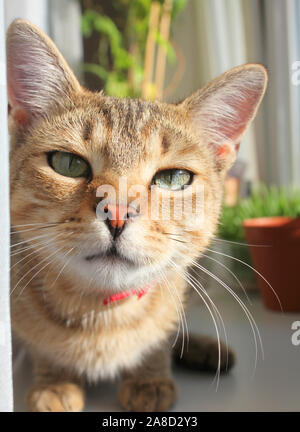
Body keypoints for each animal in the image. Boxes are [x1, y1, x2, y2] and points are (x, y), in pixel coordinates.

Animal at [7, 20, 268, 412]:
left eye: (173, 178)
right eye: (67, 164)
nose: (116, 213)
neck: (104, 315)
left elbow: (159, 338)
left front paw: (150, 376)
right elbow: (42, 345)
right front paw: (54, 380)